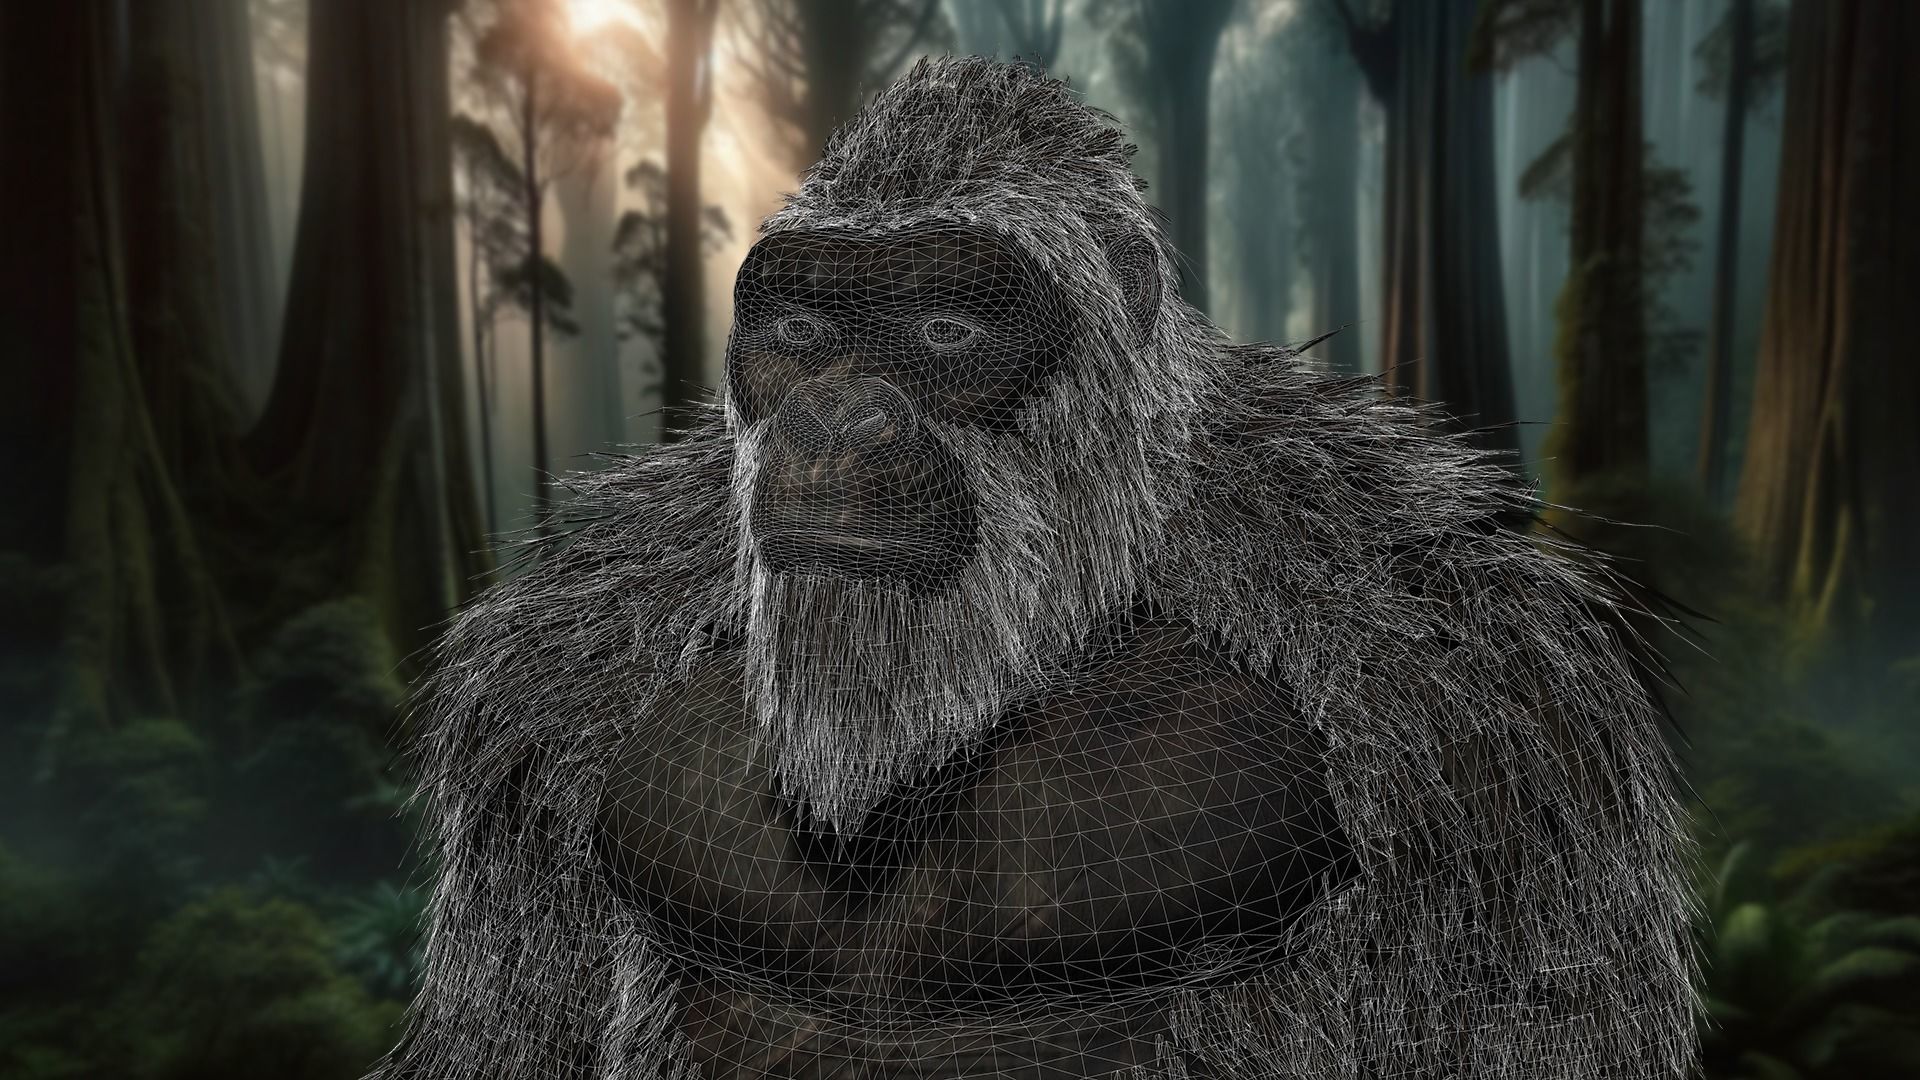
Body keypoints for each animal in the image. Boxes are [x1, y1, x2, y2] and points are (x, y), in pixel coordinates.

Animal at [369, 57, 1697, 1080]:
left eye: (947, 331)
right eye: (800, 332)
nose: (835, 415)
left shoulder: (1472, 701)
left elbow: (1531, 1020)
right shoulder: (553, 683)